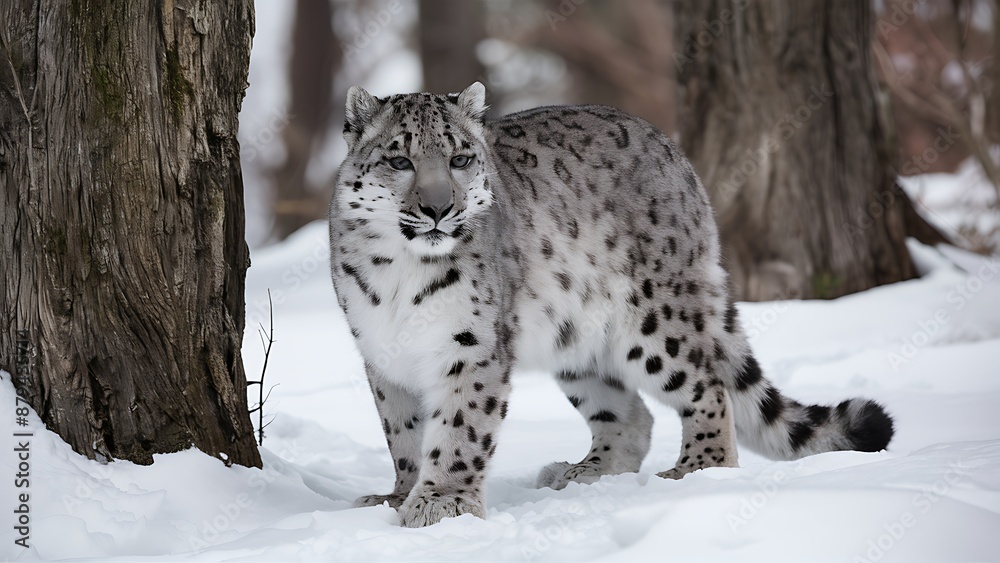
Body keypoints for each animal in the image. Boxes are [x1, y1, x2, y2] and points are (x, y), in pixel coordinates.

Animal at [328, 82, 894, 528]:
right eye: (400, 159)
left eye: (460, 158)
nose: (439, 207)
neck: (399, 274)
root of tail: (675, 156)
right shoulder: (383, 354)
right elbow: (403, 434)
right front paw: (398, 496)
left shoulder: (472, 345)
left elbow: (460, 428)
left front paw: (442, 503)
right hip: (576, 341)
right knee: (630, 414)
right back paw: (584, 472)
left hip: (657, 321)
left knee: (707, 384)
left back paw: (696, 469)